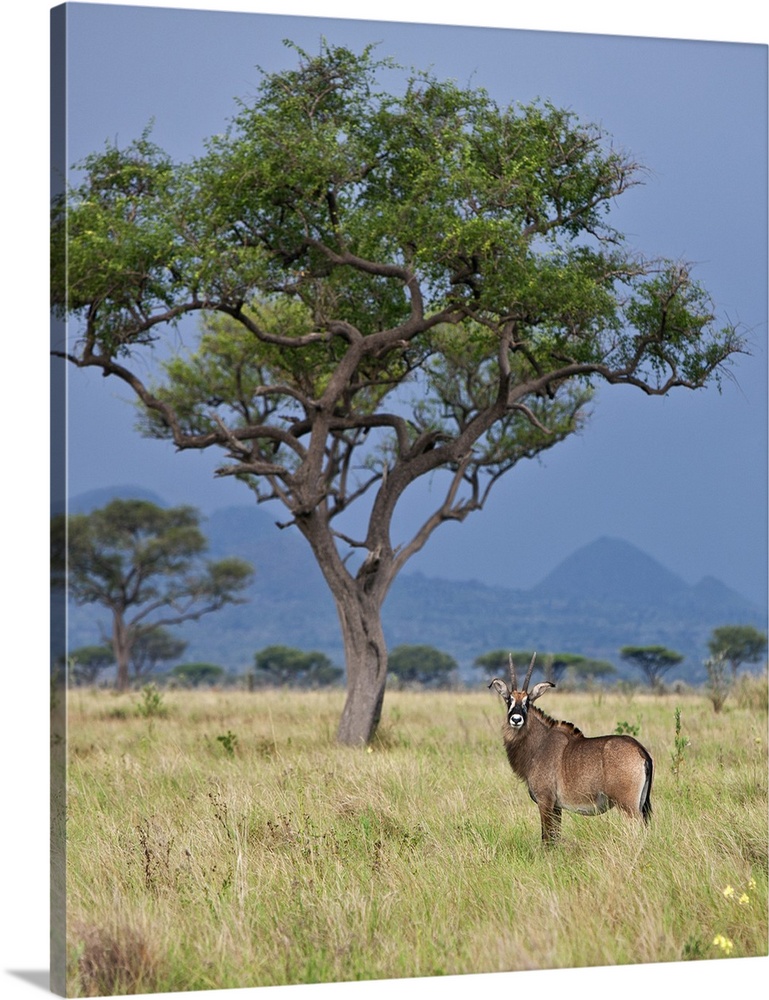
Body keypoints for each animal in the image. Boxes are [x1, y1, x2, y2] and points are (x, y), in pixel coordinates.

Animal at [488, 656, 652, 844]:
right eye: (508, 699)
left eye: (527, 702)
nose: (516, 719)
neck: (539, 744)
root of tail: (640, 750)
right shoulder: (557, 807)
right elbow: (555, 836)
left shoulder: (545, 801)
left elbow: (546, 838)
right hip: (640, 804)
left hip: (628, 806)